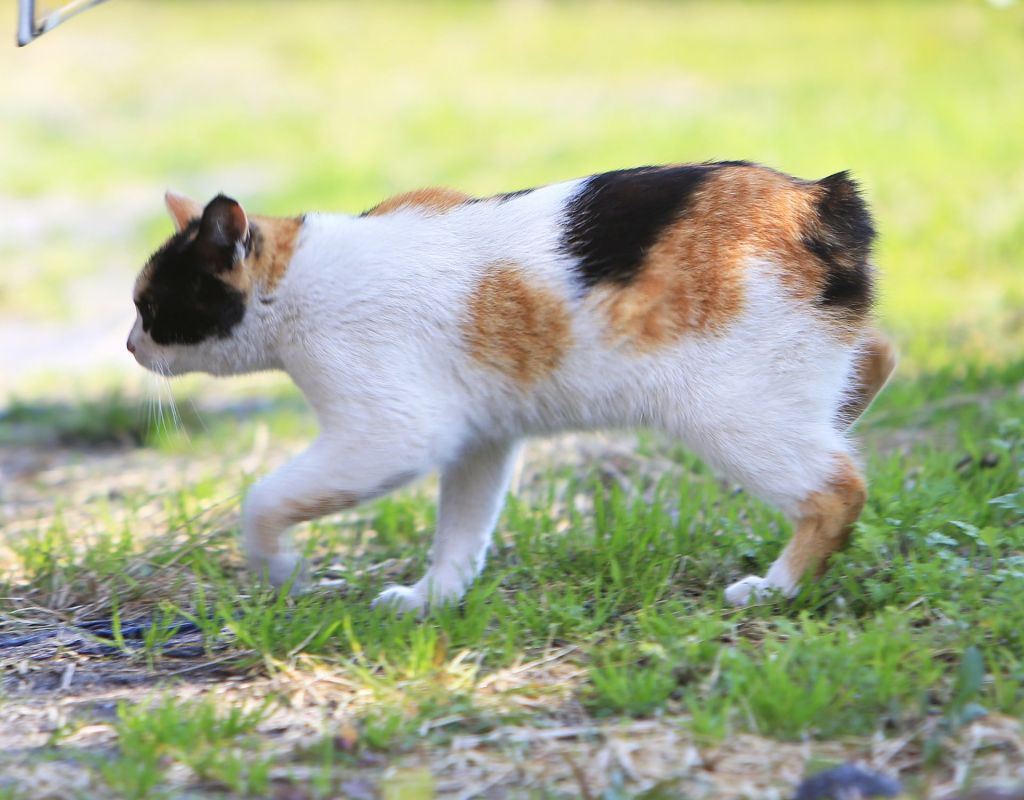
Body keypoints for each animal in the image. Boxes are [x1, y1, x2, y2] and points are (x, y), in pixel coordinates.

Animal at [128, 161, 892, 610]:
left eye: (151, 306)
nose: (130, 344)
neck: (296, 279)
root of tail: (818, 199)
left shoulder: (392, 432)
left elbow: (263, 499)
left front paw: (278, 566)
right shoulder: (479, 439)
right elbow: (461, 532)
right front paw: (432, 599)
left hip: (731, 412)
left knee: (837, 491)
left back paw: (777, 587)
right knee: (877, 358)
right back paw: (844, 414)